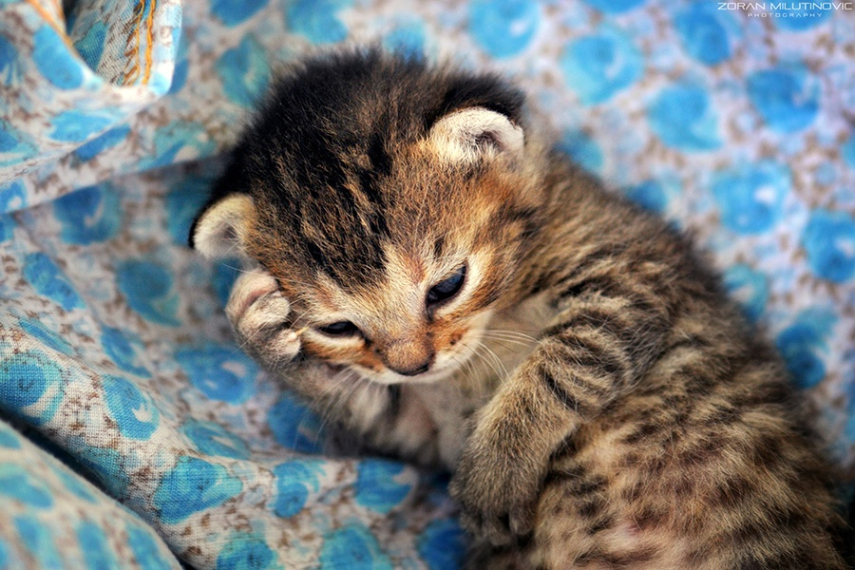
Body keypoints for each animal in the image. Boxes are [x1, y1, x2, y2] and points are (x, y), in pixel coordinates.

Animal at [191, 50, 852, 568]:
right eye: (338, 327)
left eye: (447, 286)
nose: (414, 365)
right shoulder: (417, 427)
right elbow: (365, 399)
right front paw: (256, 327)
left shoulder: (630, 270)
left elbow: (566, 361)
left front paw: (496, 470)